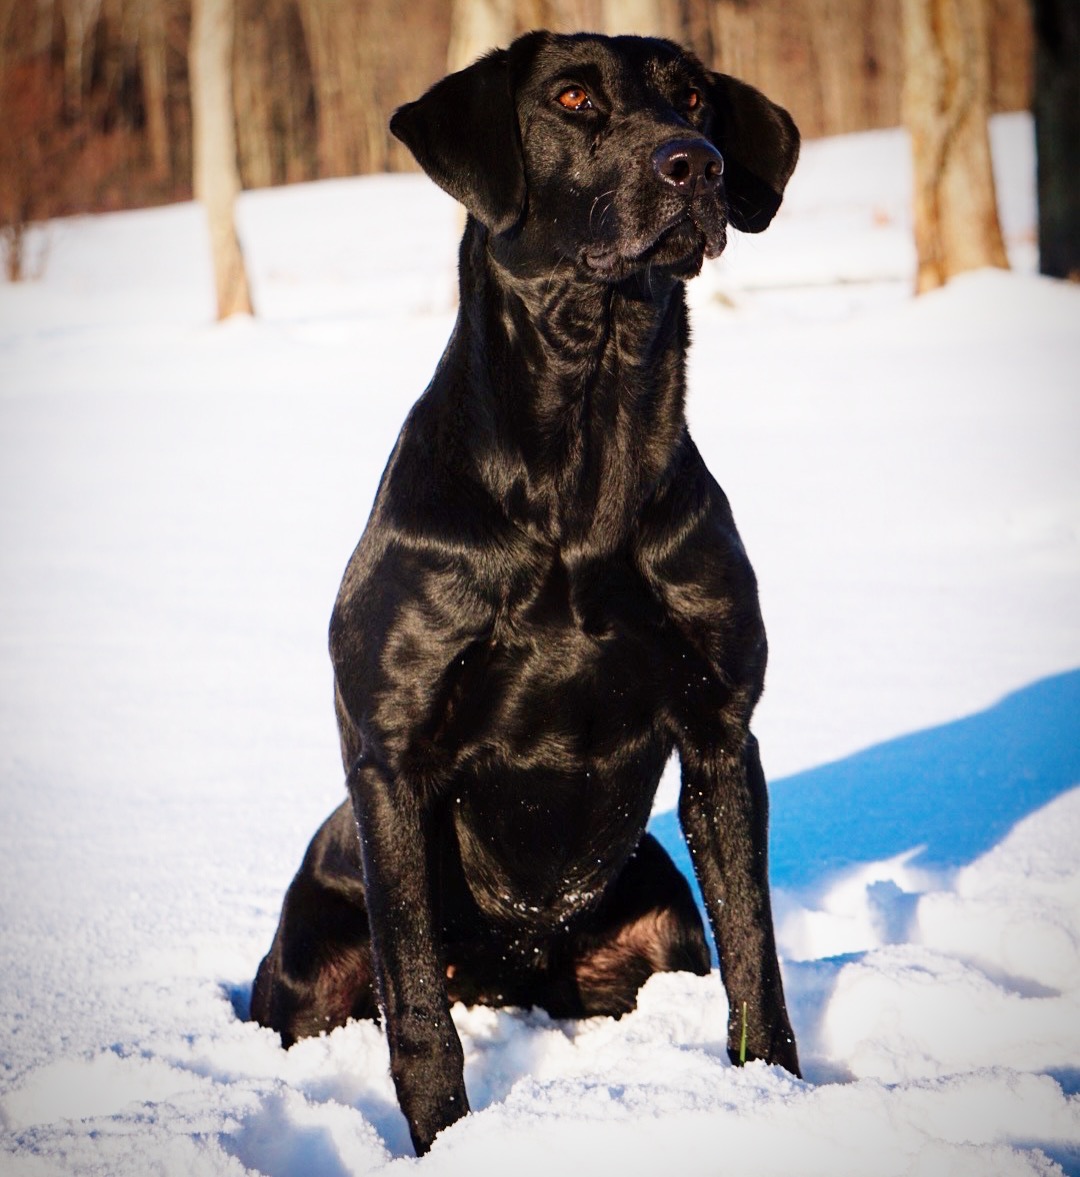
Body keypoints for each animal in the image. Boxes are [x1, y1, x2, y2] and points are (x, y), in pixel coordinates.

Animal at [255, 32, 804, 1153]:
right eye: (574, 98)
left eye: (694, 98)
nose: (694, 165)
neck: (582, 468)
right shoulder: (392, 756)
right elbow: (419, 1012)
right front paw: (444, 1143)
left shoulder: (723, 735)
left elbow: (757, 963)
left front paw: (780, 1096)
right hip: (308, 958)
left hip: (660, 914)